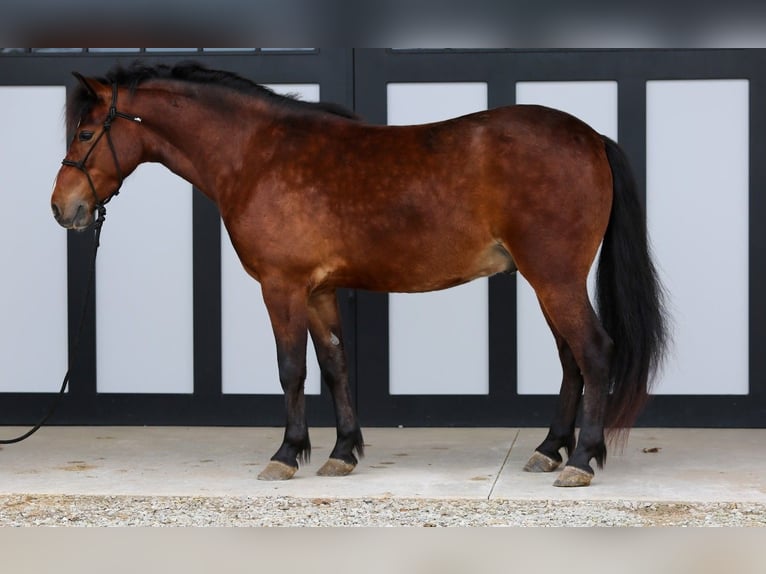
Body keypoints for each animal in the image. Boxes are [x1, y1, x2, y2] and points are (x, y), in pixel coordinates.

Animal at [51, 62, 668, 487]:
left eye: (84, 134)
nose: (63, 208)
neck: (256, 155)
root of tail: (591, 138)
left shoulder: (282, 287)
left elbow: (292, 369)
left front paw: (285, 455)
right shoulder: (319, 290)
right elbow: (335, 366)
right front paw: (342, 453)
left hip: (554, 279)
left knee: (594, 352)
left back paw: (581, 460)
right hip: (546, 282)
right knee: (571, 359)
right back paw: (549, 449)